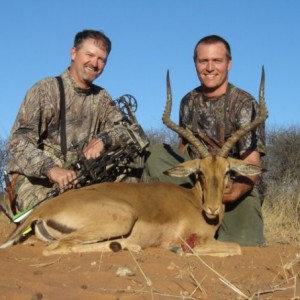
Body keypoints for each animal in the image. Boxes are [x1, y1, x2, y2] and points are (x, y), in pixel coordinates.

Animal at [0, 69, 268, 256]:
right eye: (200, 172)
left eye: (228, 172)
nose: (212, 209)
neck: (195, 201)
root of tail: (42, 210)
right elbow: (236, 248)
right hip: (120, 218)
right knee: (55, 248)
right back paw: (127, 247)